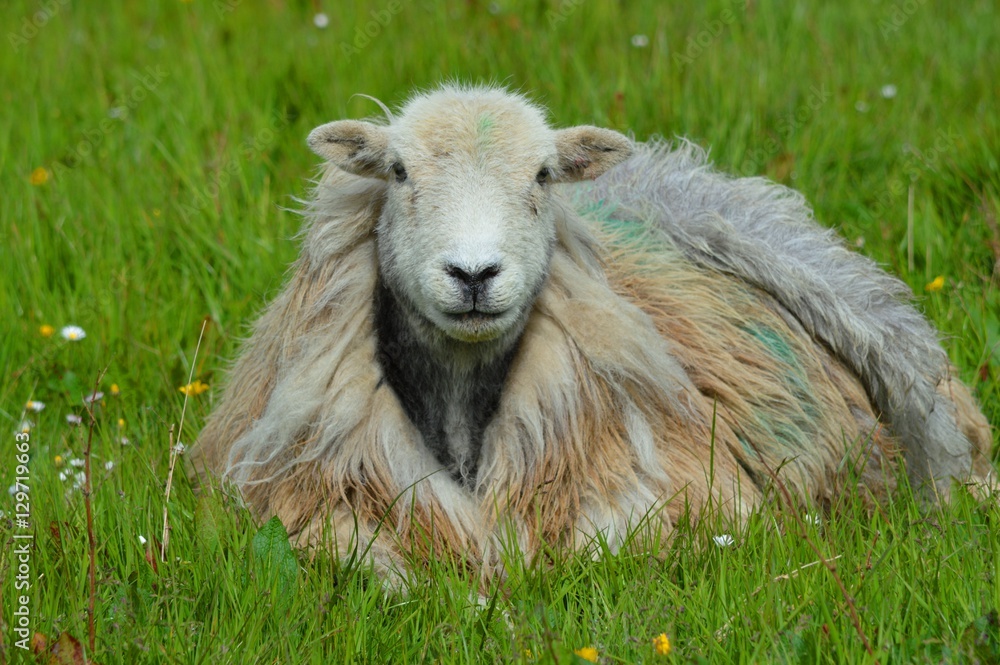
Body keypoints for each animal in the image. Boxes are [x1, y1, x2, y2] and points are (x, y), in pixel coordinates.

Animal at [191, 84, 994, 581]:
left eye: (544, 175)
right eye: (396, 171)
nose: (474, 273)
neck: (460, 408)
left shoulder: (689, 498)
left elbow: (596, 552)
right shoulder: (297, 501)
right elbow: (374, 564)